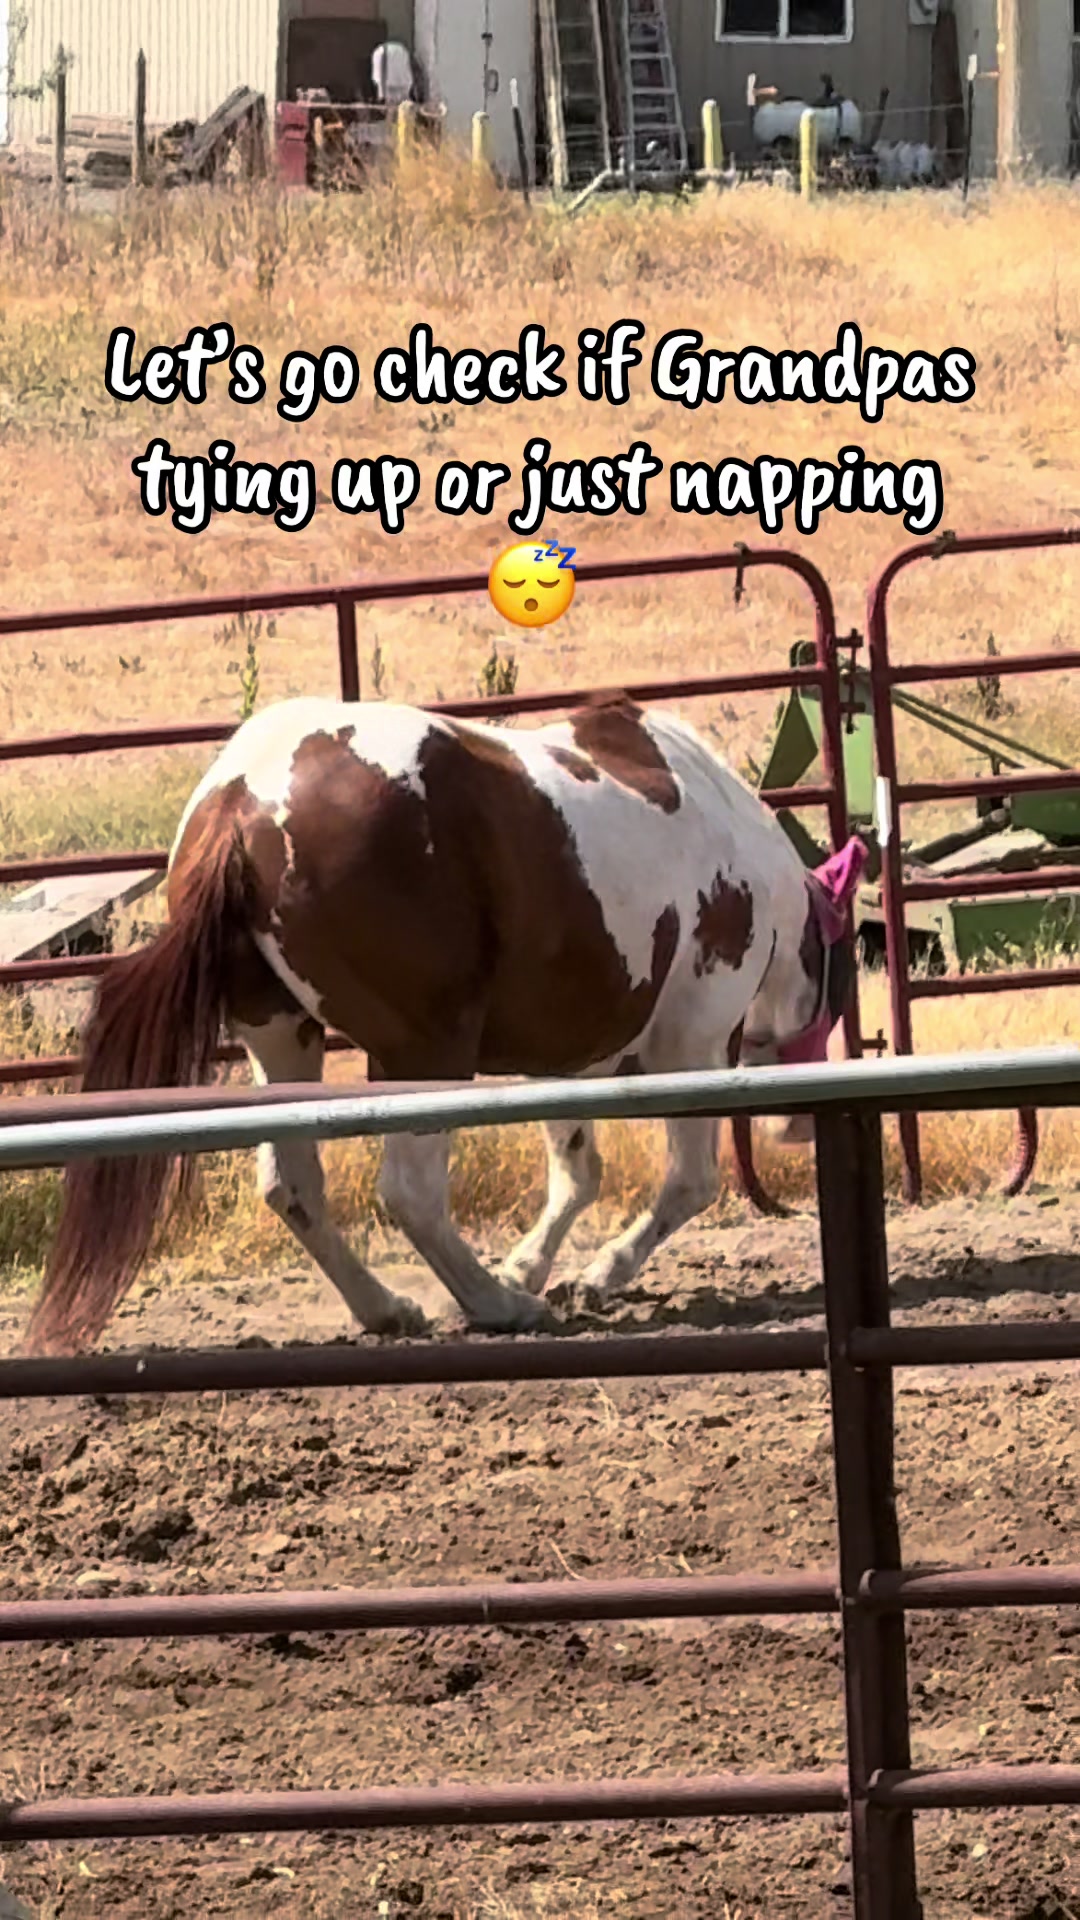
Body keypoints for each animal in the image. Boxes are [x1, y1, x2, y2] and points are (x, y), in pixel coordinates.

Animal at [23, 692, 866, 1355]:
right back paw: (495, 1304)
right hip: (424, 1049)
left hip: (282, 1039)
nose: (798, 1122)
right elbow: (688, 1181)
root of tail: (242, 801)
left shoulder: (561, 1058)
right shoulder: (690, 1044)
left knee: (293, 1186)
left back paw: (390, 1308)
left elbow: (577, 1173)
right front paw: (590, 1277)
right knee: (411, 1192)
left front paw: (534, 1265)